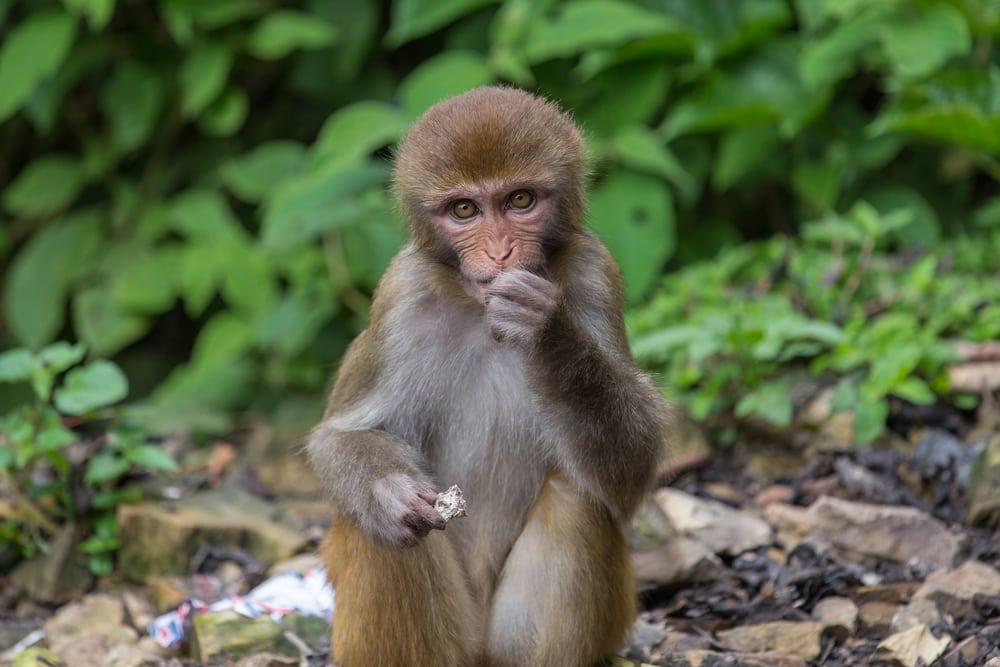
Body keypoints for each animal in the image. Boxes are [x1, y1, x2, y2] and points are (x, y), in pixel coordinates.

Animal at [306, 86, 666, 667]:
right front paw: (389, 495)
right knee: (377, 532)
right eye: (464, 210)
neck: (480, 313)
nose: (500, 253)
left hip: (507, 641)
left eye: (519, 201)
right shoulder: (399, 294)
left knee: (576, 497)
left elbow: (628, 478)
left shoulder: (595, 273)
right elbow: (342, 436)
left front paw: (545, 329)